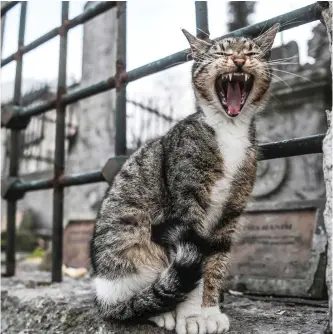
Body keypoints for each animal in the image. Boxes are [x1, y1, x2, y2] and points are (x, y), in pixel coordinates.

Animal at [90, 23, 278, 334]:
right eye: (221, 52)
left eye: (251, 52)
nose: (239, 59)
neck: (229, 130)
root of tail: (101, 297)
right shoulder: (186, 208)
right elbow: (194, 266)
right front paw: (191, 317)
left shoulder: (230, 215)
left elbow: (214, 265)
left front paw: (210, 312)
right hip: (131, 242)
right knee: (136, 301)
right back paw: (161, 312)